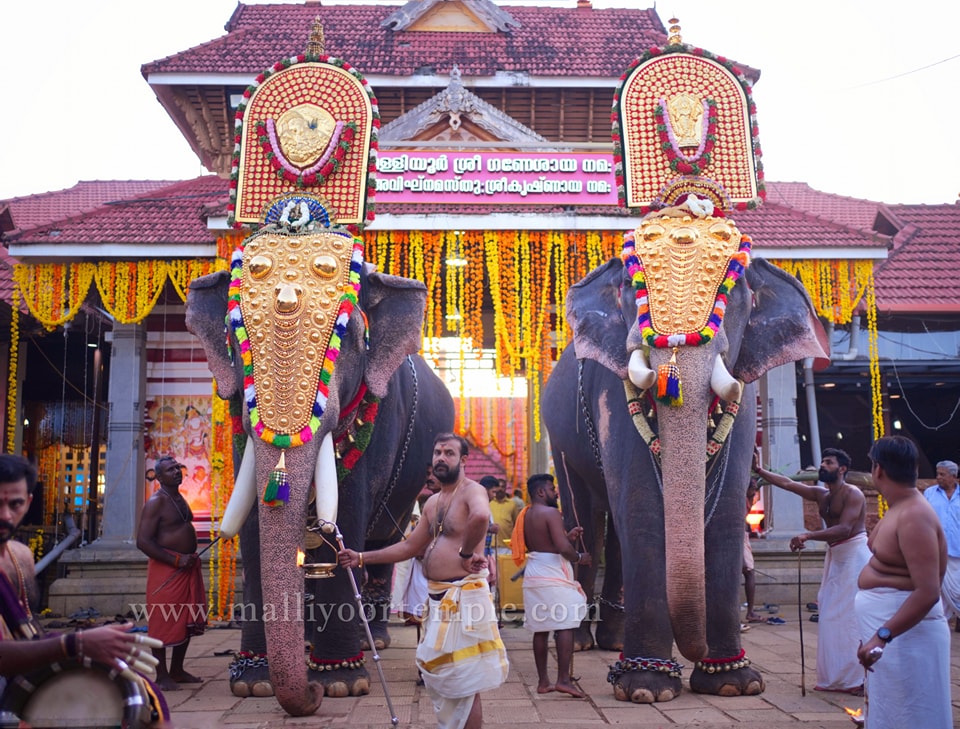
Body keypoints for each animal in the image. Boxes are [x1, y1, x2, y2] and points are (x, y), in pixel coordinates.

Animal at [189, 229, 456, 716]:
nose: (309, 696)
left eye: (348, 338)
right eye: (235, 338)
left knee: (382, 543)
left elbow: (348, 512)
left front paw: (340, 685)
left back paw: (373, 643)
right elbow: (253, 524)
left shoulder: (379, 413)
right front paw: (254, 683)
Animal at [544, 209, 828, 700]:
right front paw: (647, 688)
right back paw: (581, 641)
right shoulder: (612, 392)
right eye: (632, 290)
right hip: (559, 436)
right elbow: (640, 503)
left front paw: (733, 682)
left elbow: (728, 507)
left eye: (738, 294)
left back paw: (613, 641)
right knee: (585, 517)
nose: (692, 650)